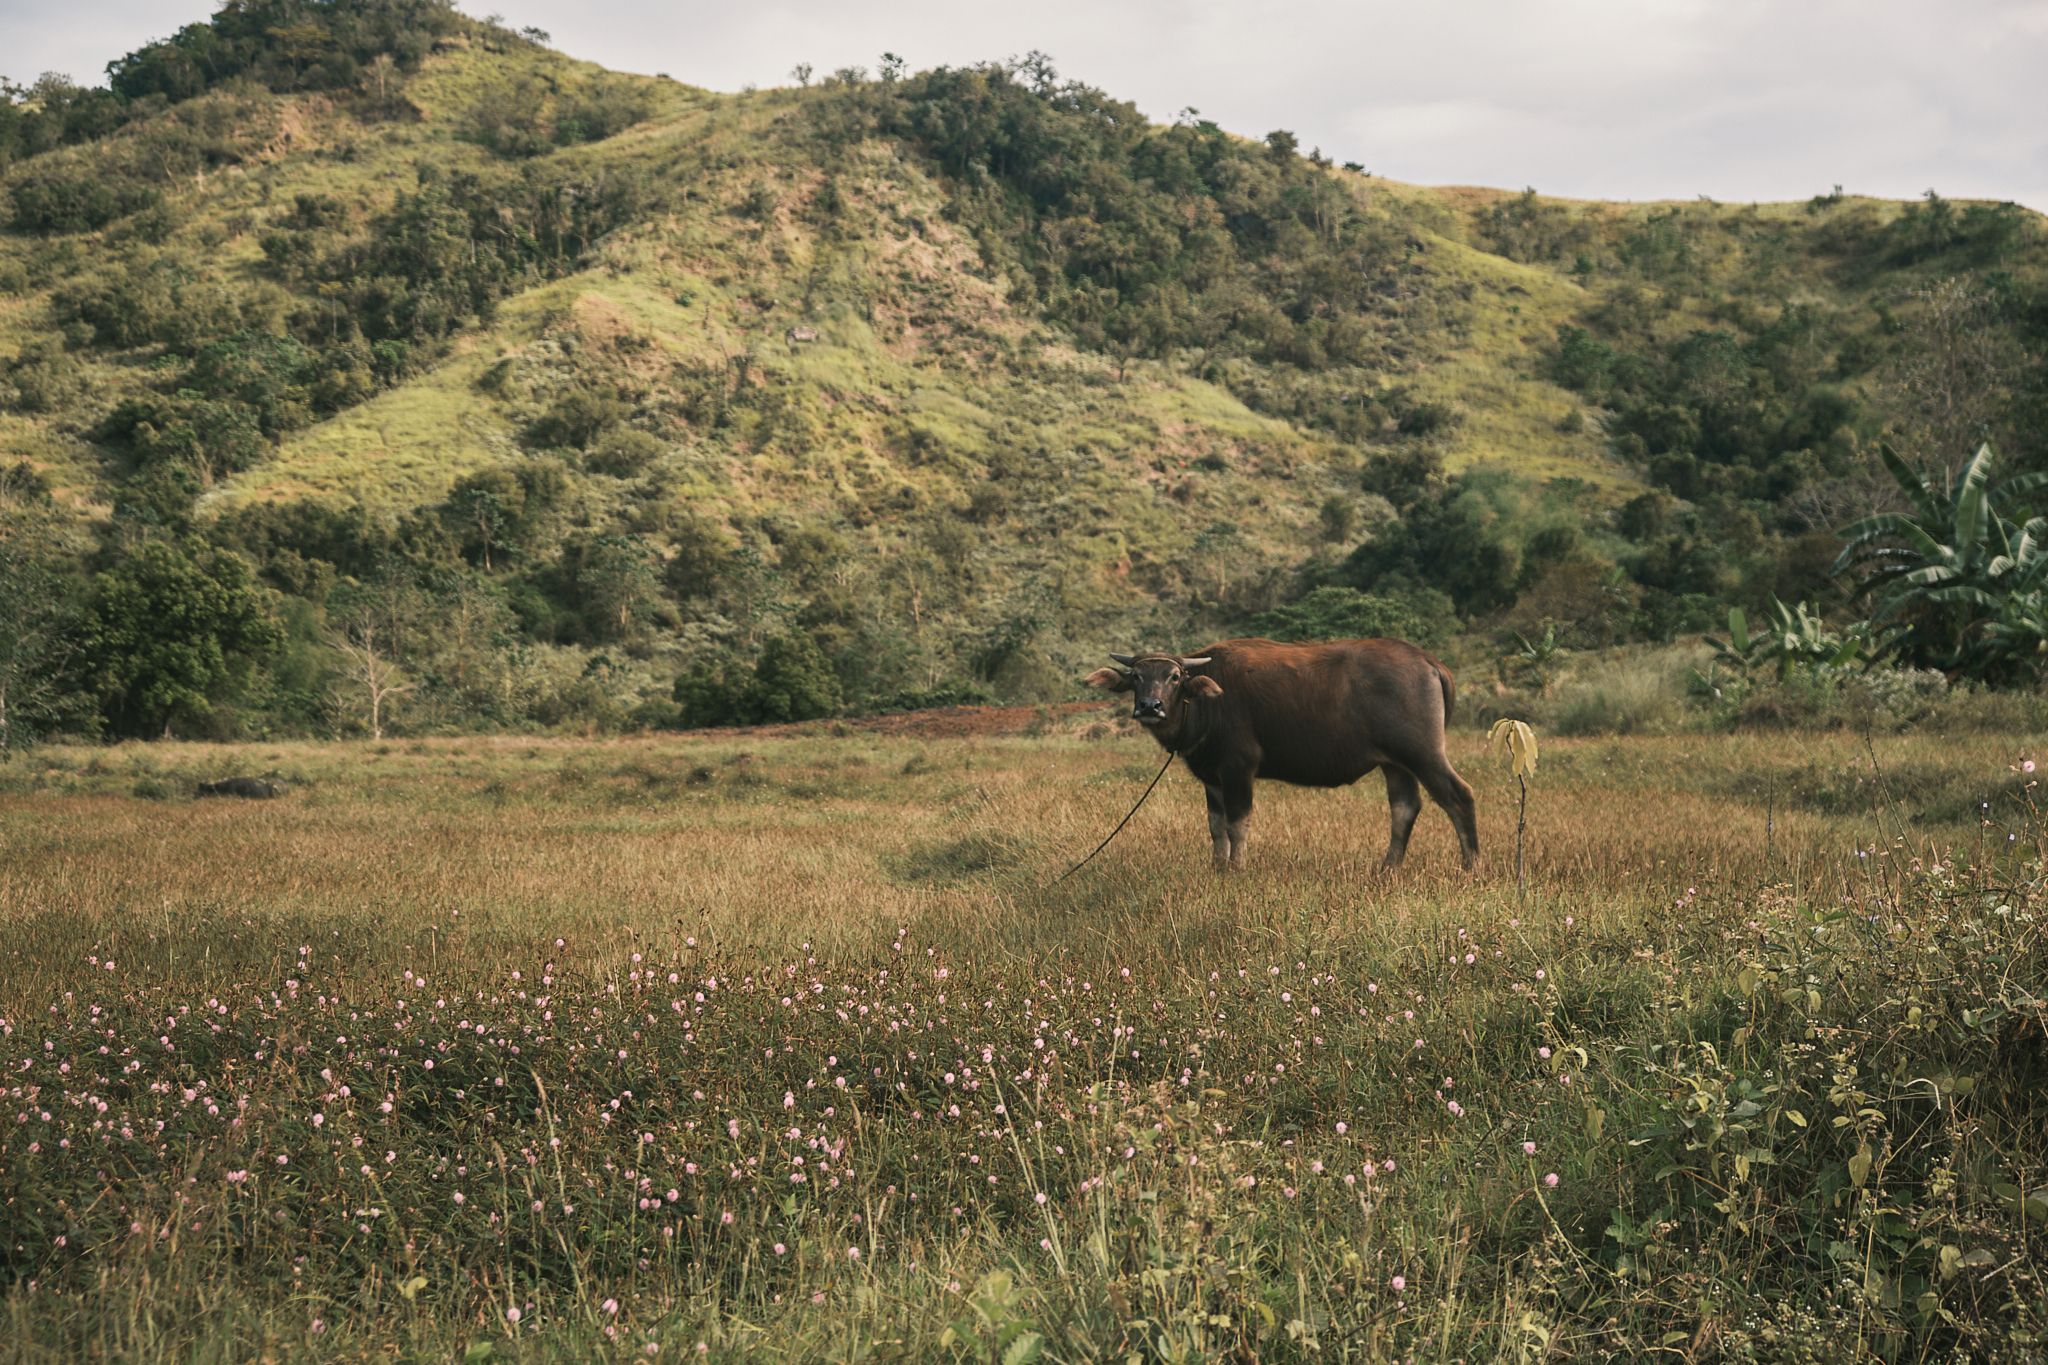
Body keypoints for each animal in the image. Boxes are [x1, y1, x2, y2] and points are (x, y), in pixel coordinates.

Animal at [1084, 638, 1478, 871]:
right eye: (1137, 676)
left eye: (1174, 676)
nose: (1150, 707)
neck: (1207, 704)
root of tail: (1428, 662)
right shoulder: (1212, 778)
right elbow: (1215, 826)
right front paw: (1217, 868)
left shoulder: (1239, 768)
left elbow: (1237, 823)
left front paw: (1236, 869)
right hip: (1394, 763)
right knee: (1404, 807)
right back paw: (1387, 868)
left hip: (1424, 753)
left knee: (1459, 797)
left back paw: (1470, 866)